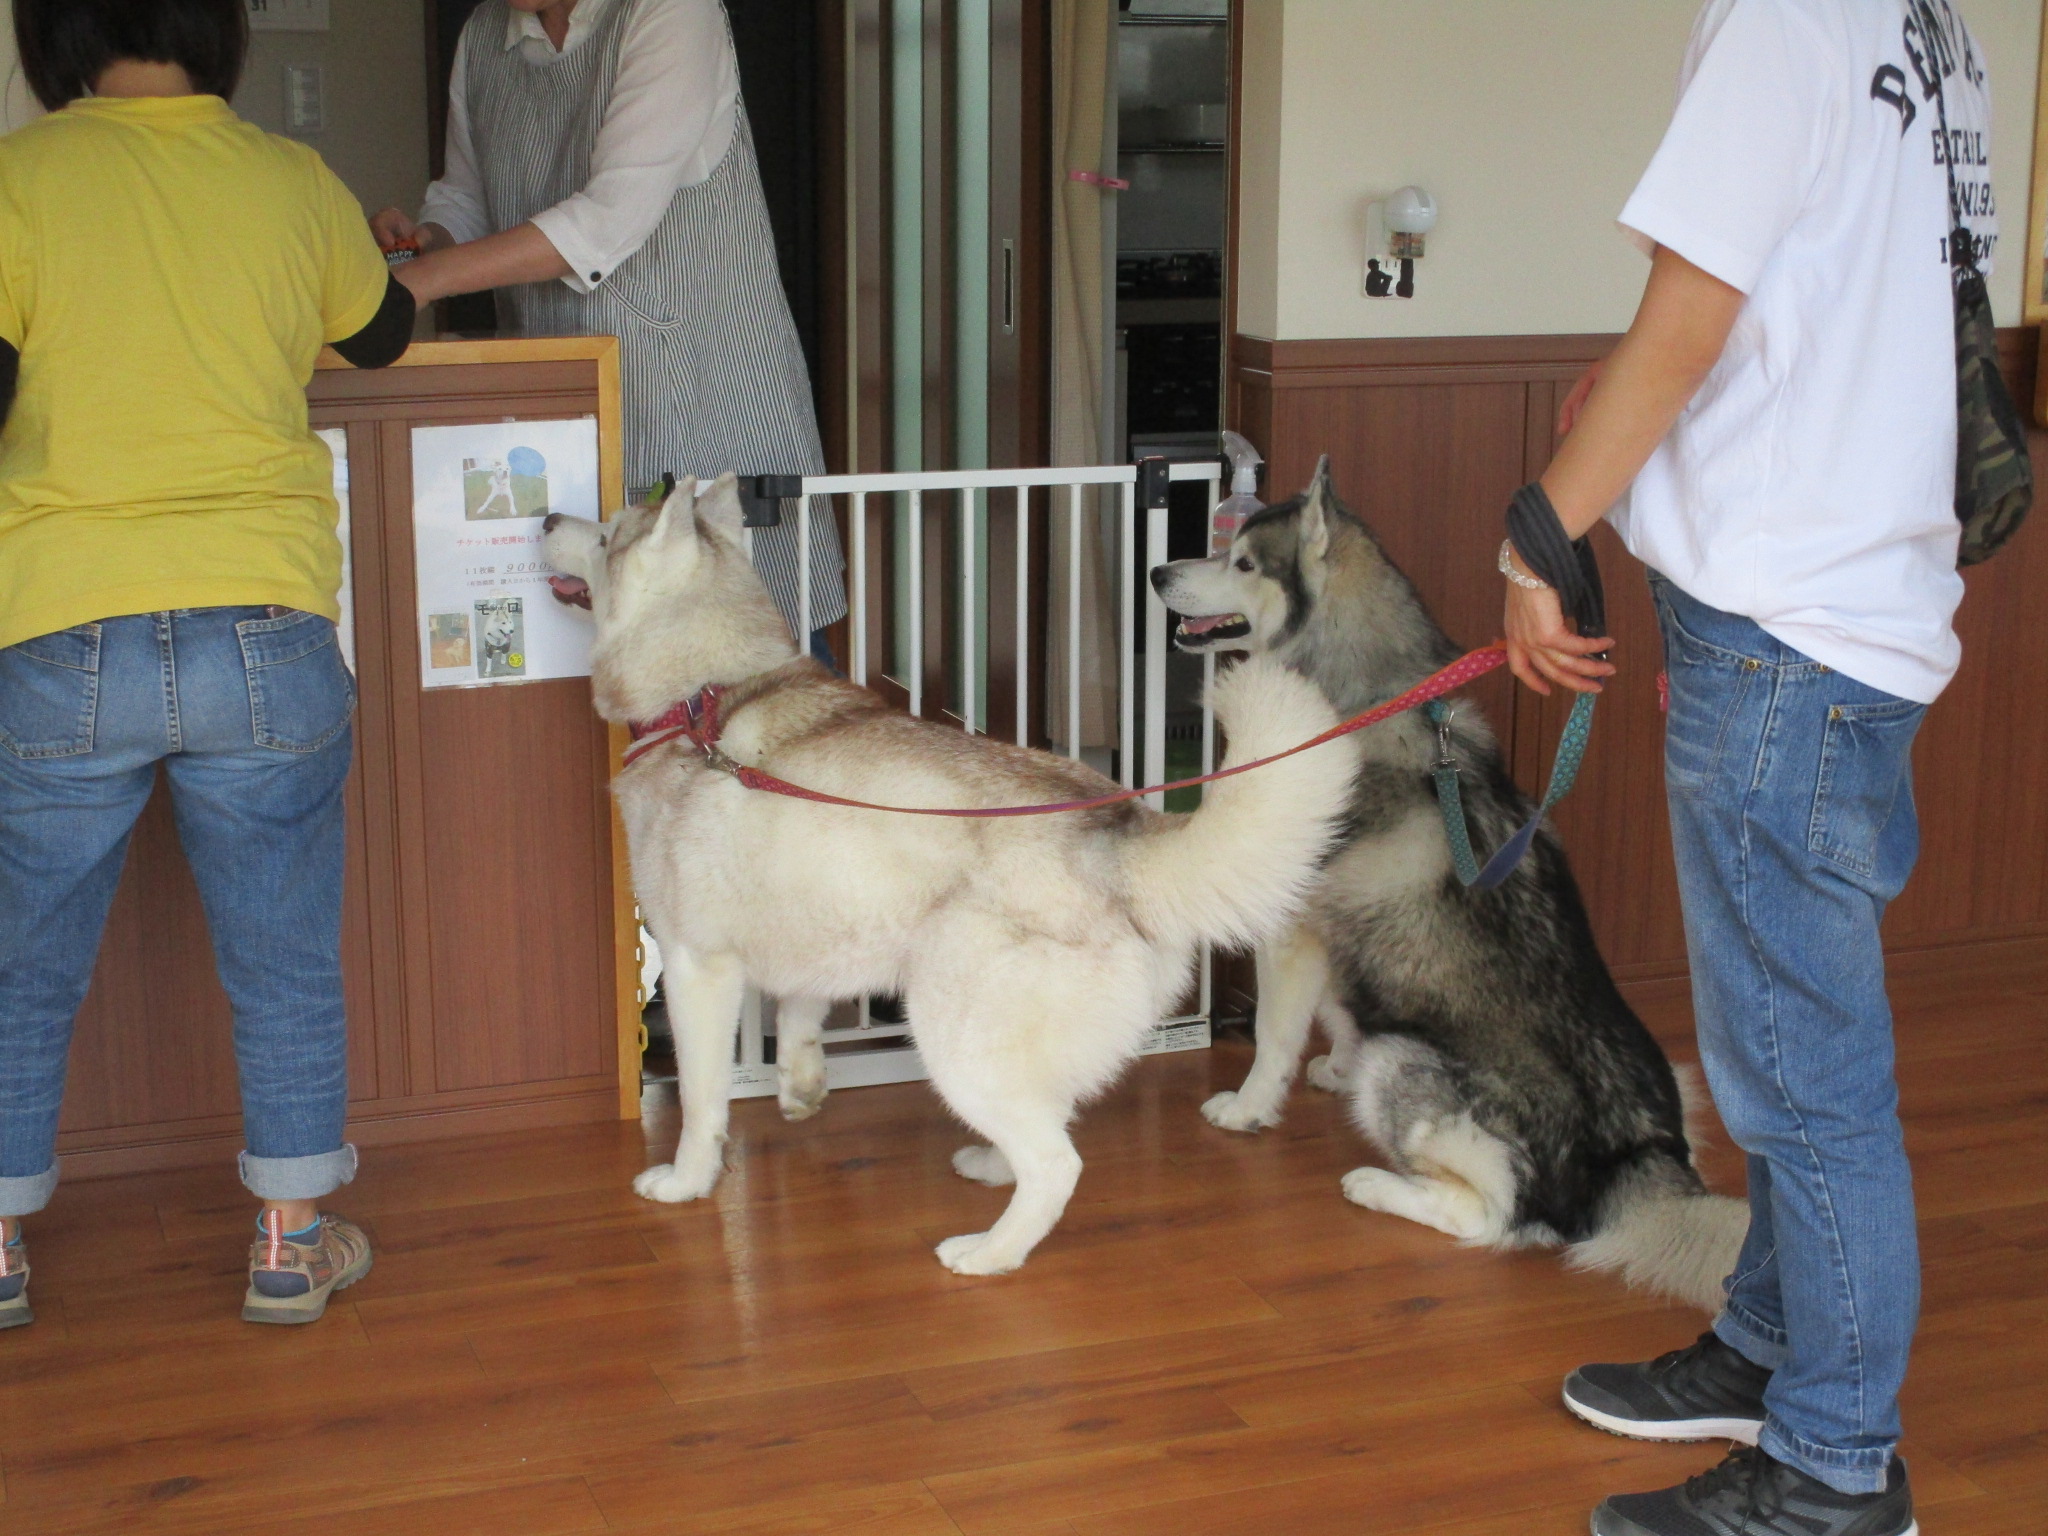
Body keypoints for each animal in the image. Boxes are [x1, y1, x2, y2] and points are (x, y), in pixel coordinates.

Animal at [543, 474, 1357, 1275]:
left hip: (952, 1030)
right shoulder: (815, 921)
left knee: (1056, 1163)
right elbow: (801, 1013)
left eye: (606, 534)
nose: (548, 516)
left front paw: (685, 1180)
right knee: (1048, 1119)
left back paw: (990, 1252)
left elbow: (701, 1099)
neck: (703, 695)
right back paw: (992, 1167)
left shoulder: (695, 966)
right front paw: (802, 1086)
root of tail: (1117, 833)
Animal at [1150, 463, 1744, 1310]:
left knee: (1488, 1219)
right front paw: (1332, 1061)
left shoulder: (1294, 926)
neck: (1359, 693)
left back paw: (1375, 1185)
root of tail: (1634, 1160)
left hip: (1405, 1063)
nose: (1159, 573)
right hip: (1677, 1081)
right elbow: (1337, 1010)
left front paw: (1250, 1107)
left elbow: (1272, 1033)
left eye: (1243, 563)